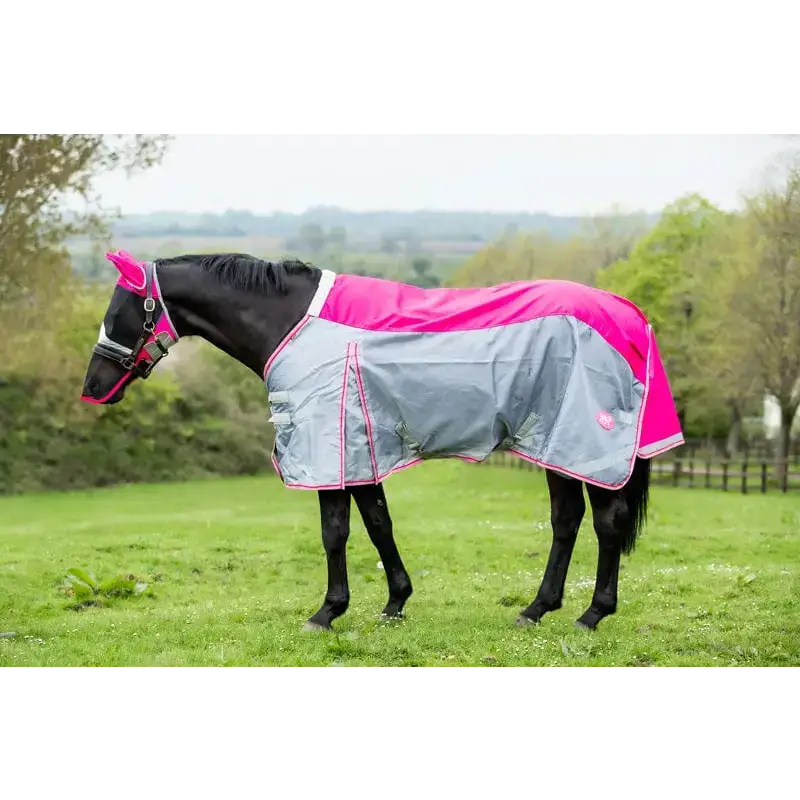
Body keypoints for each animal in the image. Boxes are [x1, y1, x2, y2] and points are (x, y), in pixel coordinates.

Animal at [80, 249, 685, 633]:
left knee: (606, 524)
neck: (292, 325)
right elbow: (377, 524)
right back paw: (537, 610)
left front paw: (327, 612)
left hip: (585, 445)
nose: (91, 389)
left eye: (121, 310)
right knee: (566, 522)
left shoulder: (328, 448)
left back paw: (592, 614)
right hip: (553, 445)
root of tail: (628, 314)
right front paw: (395, 602)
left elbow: (335, 533)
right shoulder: (359, 449)